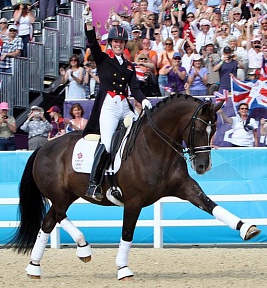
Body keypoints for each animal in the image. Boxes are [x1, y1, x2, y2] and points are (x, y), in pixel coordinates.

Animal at [7, 94, 262, 280]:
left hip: (67, 195)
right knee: (55, 218)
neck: (155, 144)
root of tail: (43, 147)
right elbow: (127, 233)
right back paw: (72, 252)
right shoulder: (133, 201)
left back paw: (45, 263)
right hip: (60, 195)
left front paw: (247, 228)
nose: (202, 166)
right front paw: (123, 269)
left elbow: (211, 205)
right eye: (198, 130)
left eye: (215, 129)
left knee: (51, 220)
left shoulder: (185, 187)